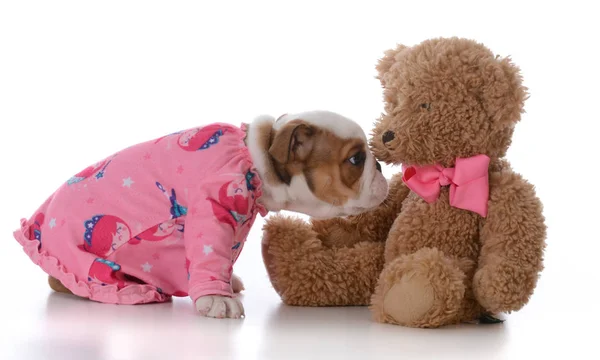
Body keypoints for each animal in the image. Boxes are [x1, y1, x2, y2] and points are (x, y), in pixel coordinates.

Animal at [15, 109, 390, 318]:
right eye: (356, 159)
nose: (380, 165)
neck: (255, 161)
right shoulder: (212, 208)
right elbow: (210, 252)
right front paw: (216, 298)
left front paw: (222, 284)